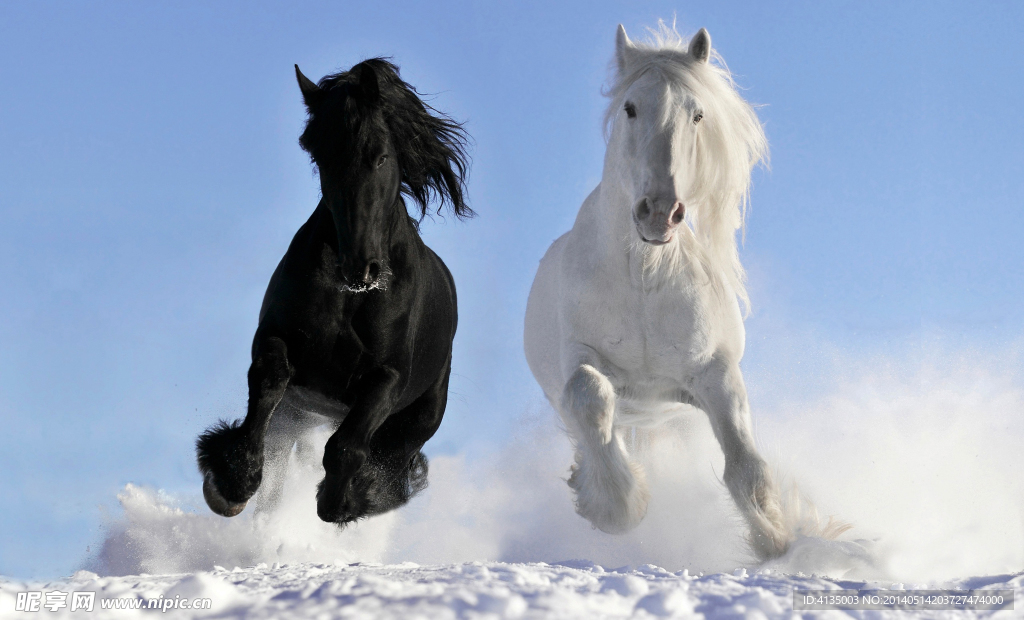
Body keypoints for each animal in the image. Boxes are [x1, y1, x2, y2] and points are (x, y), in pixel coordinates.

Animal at [196, 58, 472, 524]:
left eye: (380, 155)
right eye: (321, 157)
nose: (361, 267)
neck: (352, 298)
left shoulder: (387, 377)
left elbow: (346, 447)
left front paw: (343, 500)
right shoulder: (276, 339)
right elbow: (268, 383)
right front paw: (232, 482)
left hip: (419, 416)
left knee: (392, 459)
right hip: (296, 414)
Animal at [524, 24, 790, 560]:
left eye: (697, 113)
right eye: (630, 107)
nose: (660, 212)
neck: (646, 278)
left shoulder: (715, 373)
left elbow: (746, 466)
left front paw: (778, 541)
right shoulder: (579, 357)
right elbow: (588, 394)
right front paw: (619, 506)